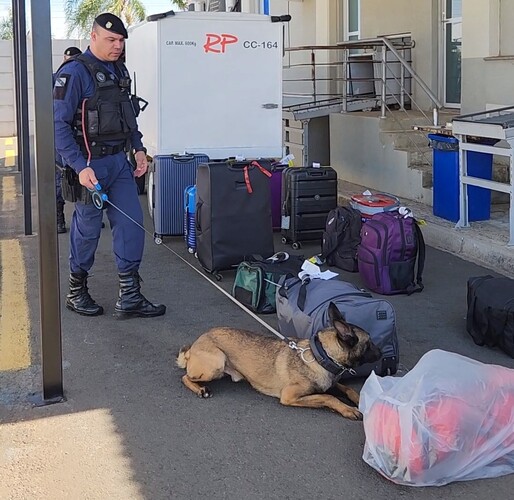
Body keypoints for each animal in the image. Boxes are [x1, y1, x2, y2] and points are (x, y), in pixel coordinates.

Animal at [176, 302, 380, 420]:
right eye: (369, 343)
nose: (382, 354)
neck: (320, 355)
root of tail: (194, 346)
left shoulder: (329, 383)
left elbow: (346, 388)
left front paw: (358, 398)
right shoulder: (289, 396)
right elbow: (328, 397)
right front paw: (347, 409)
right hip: (216, 363)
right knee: (185, 377)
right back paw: (200, 389)